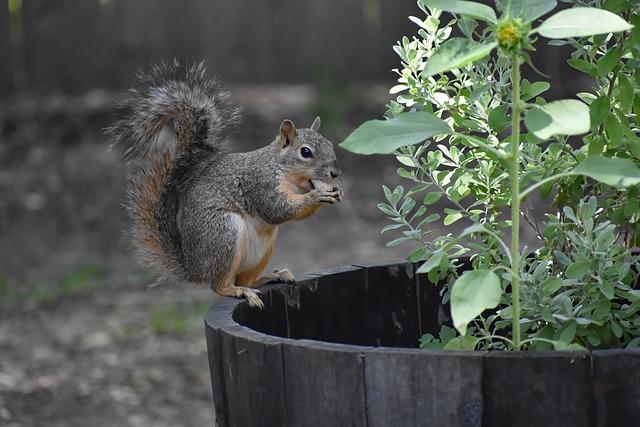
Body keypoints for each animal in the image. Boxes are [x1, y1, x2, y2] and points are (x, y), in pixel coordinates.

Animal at [107, 61, 342, 308]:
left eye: (329, 144)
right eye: (306, 152)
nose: (336, 173)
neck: (283, 169)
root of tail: (193, 268)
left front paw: (333, 192)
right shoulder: (260, 182)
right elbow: (276, 209)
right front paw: (315, 196)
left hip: (262, 248)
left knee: (245, 279)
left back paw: (272, 276)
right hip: (223, 233)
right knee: (219, 286)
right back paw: (239, 291)